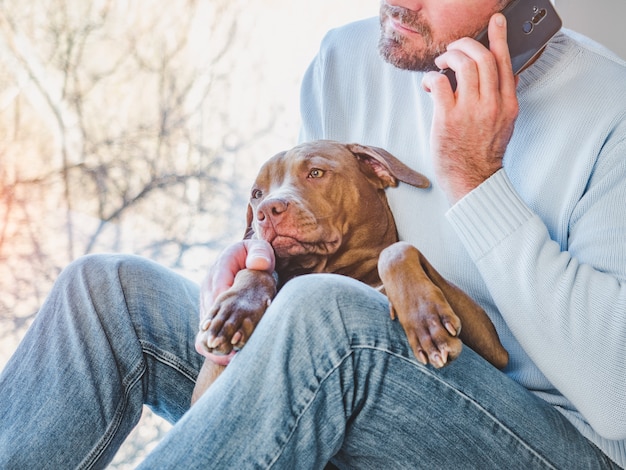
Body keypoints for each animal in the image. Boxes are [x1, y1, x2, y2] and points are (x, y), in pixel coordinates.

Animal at [191, 140, 508, 404]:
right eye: (257, 194)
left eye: (316, 173)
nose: (266, 211)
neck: (333, 267)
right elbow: (257, 269)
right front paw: (234, 308)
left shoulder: (497, 353)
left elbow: (396, 251)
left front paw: (426, 320)